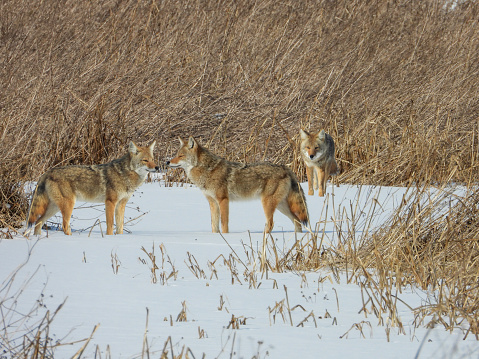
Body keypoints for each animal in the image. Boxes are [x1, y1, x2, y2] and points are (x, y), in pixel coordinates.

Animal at [27, 141, 158, 236]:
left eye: (152, 159)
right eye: (145, 160)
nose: (157, 167)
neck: (126, 174)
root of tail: (47, 172)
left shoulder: (121, 204)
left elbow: (120, 226)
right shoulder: (110, 202)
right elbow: (110, 225)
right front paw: (109, 238)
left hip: (54, 208)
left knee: (38, 222)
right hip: (68, 205)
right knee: (64, 226)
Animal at [167, 137, 310, 233]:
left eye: (180, 155)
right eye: (176, 155)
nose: (167, 162)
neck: (207, 170)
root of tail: (285, 167)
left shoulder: (223, 200)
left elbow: (224, 223)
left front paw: (226, 237)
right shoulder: (212, 202)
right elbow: (214, 225)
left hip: (268, 203)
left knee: (271, 224)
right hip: (281, 206)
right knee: (297, 221)